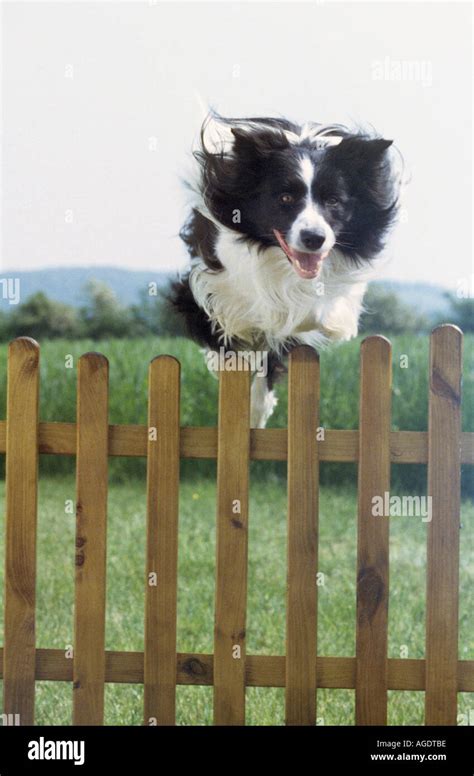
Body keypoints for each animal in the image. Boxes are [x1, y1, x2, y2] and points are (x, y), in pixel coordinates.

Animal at [170, 113, 400, 428]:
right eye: (286, 198)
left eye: (333, 201)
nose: (314, 238)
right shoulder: (207, 280)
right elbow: (224, 322)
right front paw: (225, 362)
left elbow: (301, 317)